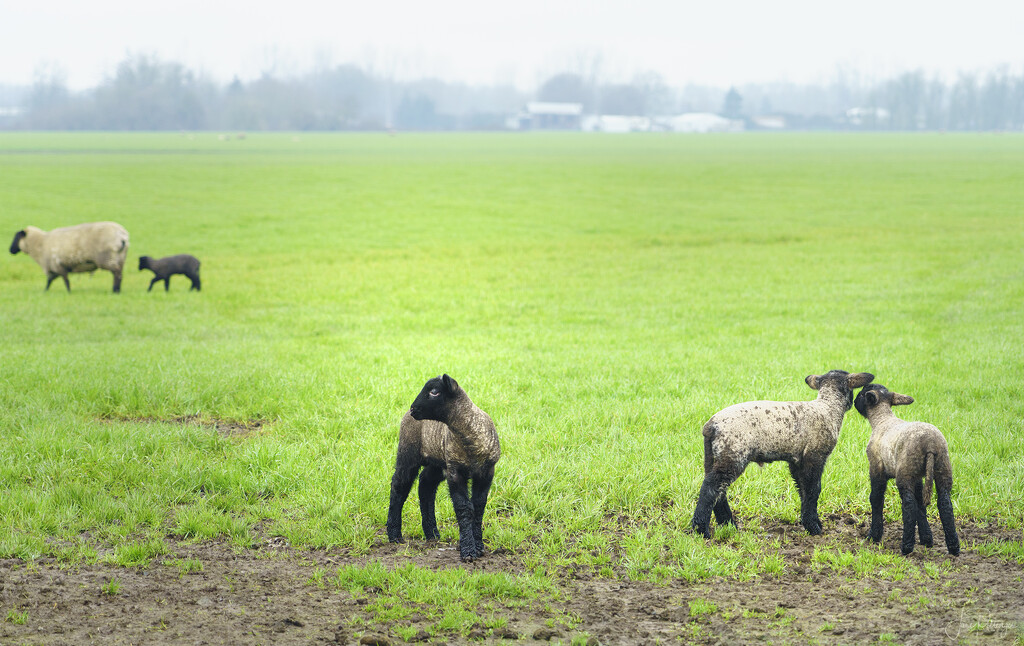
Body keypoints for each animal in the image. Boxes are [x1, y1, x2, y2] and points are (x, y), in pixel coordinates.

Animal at [385, 376, 501, 565]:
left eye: (434, 392)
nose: (413, 408)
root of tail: (406, 416)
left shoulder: (486, 472)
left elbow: (478, 507)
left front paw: (478, 546)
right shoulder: (455, 472)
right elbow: (464, 508)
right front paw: (468, 550)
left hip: (437, 462)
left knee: (425, 485)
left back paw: (432, 533)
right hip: (408, 452)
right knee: (399, 486)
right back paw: (394, 534)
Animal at [688, 368, 872, 540]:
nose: (853, 404)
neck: (828, 408)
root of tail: (711, 426)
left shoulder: (797, 460)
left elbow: (803, 490)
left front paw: (810, 521)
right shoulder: (815, 455)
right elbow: (813, 489)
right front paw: (814, 527)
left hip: (712, 456)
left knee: (718, 490)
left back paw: (728, 524)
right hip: (733, 453)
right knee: (710, 488)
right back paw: (701, 529)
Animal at [856, 384, 958, 556]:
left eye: (862, 394)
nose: (854, 402)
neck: (882, 420)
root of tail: (930, 445)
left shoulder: (876, 467)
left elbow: (876, 498)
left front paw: (873, 536)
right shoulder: (917, 476)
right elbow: (921, 505)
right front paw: (927, 539)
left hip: (905, 472)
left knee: (909, 504)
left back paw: (906, 547)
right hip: (940, 467)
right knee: (945, 503)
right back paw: (954, 548)